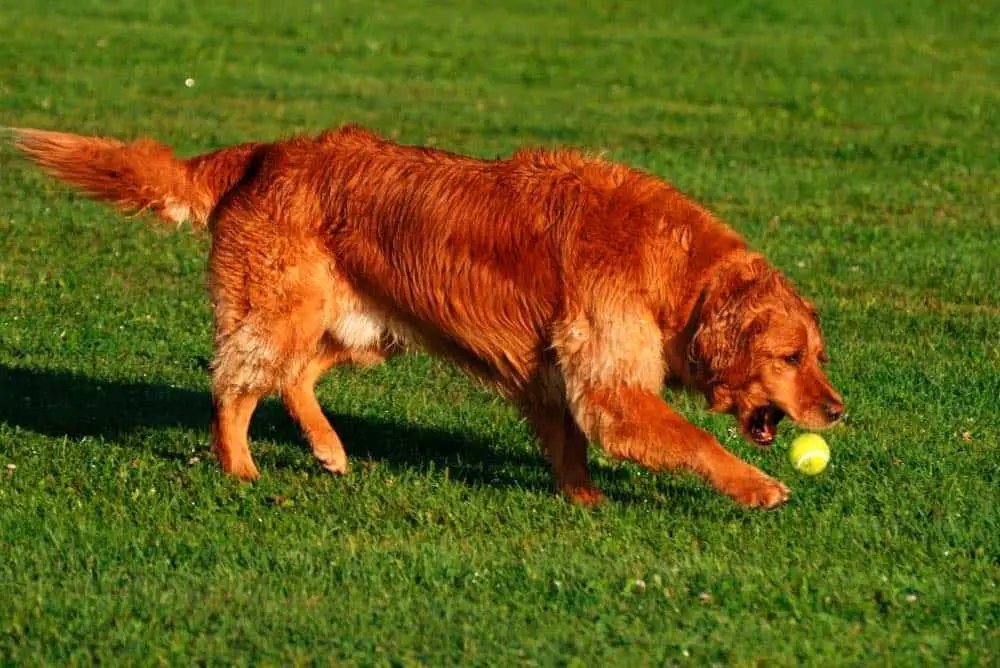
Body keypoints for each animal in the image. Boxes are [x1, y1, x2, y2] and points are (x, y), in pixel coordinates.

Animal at [13, 125, 844, 508]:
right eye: (790, 357)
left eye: (818, 354)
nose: (837, 411)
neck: (677, 271)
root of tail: (266, 151)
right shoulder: (610, 387)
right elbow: (693, 440)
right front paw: (757, 486)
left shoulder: (557, 379)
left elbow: (570, 444)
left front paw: (581, 497)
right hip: (279, 310)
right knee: (236, 385)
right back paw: (240, 467)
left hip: (364, 325)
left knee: (294, 377)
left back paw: (329, 450)